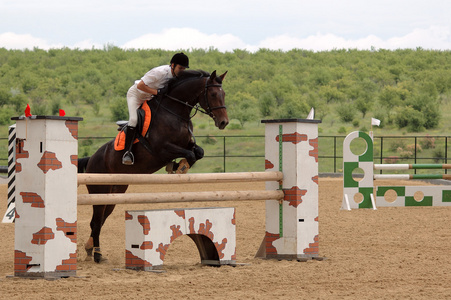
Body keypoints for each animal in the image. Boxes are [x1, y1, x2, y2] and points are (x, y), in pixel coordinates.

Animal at [77, 70, 230, 262]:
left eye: (223, 94)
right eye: (213, 94)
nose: (224, 122)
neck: (175, 112)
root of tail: (92, 158)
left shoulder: (186, 144)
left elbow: (198, 152)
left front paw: (177, 166)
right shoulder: (161, 149)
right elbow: (189, 154)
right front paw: (180, 167)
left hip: (115, 191)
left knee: (101, 219)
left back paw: (90, 249)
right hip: (99, 190)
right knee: (96, 221)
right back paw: (97, 254)